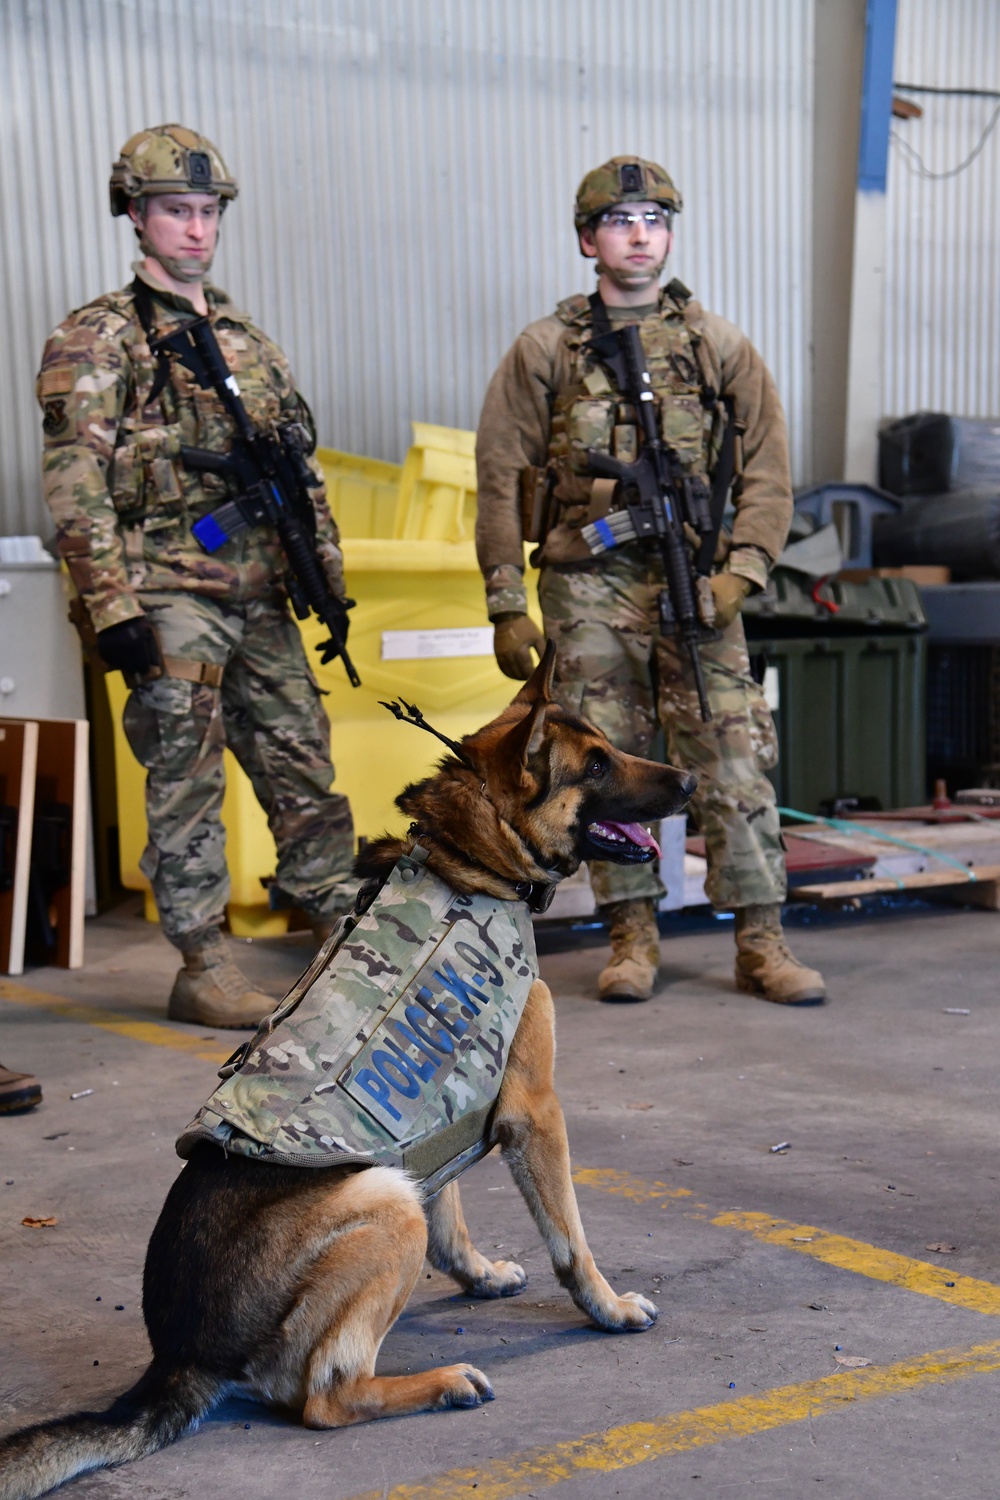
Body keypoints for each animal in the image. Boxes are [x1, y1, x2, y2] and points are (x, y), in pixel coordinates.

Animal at [0, 648, 692, 1500]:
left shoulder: (434, 1112)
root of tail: (180, 1354)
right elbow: (572, 1238)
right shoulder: (535, 1112)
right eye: (596, 764)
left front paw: (478, 1273)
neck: (474, 858)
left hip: (389, 1187)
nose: (689, 780)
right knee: (326, 1398)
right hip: (383, 1204)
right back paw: (440, 1384)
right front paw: (608, 1308)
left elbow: (451, 1213)